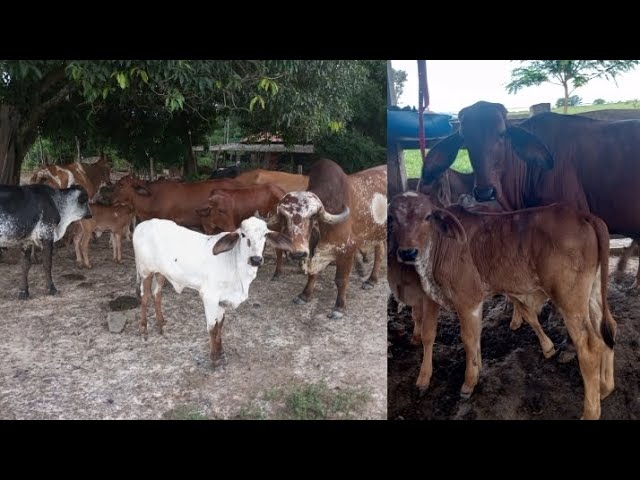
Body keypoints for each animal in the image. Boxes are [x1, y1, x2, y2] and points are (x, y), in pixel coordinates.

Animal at [135, 216, 296, 366]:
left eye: (265, 234)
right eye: (243, 235)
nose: (256, 259)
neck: (235, 265)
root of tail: (142, 225)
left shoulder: (223, 300)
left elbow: (220, 325)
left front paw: (221, 351)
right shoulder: (209, 297)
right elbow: (212, 327)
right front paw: (214, 358)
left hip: (160, 273)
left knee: (157, 295)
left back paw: (161, 324)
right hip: (145, 272)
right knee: (144, 297)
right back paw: (143, 328)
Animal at [270, 159, 384, 320]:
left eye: (312, 217)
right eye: (285, 218)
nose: (298, 253)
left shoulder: (346, 250)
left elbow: (341, 280)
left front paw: (339, 307)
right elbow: (312, 275)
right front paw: (304, 295)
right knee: (380, 250)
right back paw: (371, 280)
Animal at [392, 191, 616, 420]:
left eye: (428, 216)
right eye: (392, 219)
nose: (408, 253)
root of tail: (583, 216)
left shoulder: (466, 300)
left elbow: (468, 339)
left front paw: (468, 383)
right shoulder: (437, 298)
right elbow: (438, 334)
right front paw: (430, 378)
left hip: (569, 298)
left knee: (589, 347)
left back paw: (590, 411)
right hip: (593, 292)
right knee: (607, 330)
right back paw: (605, 388)